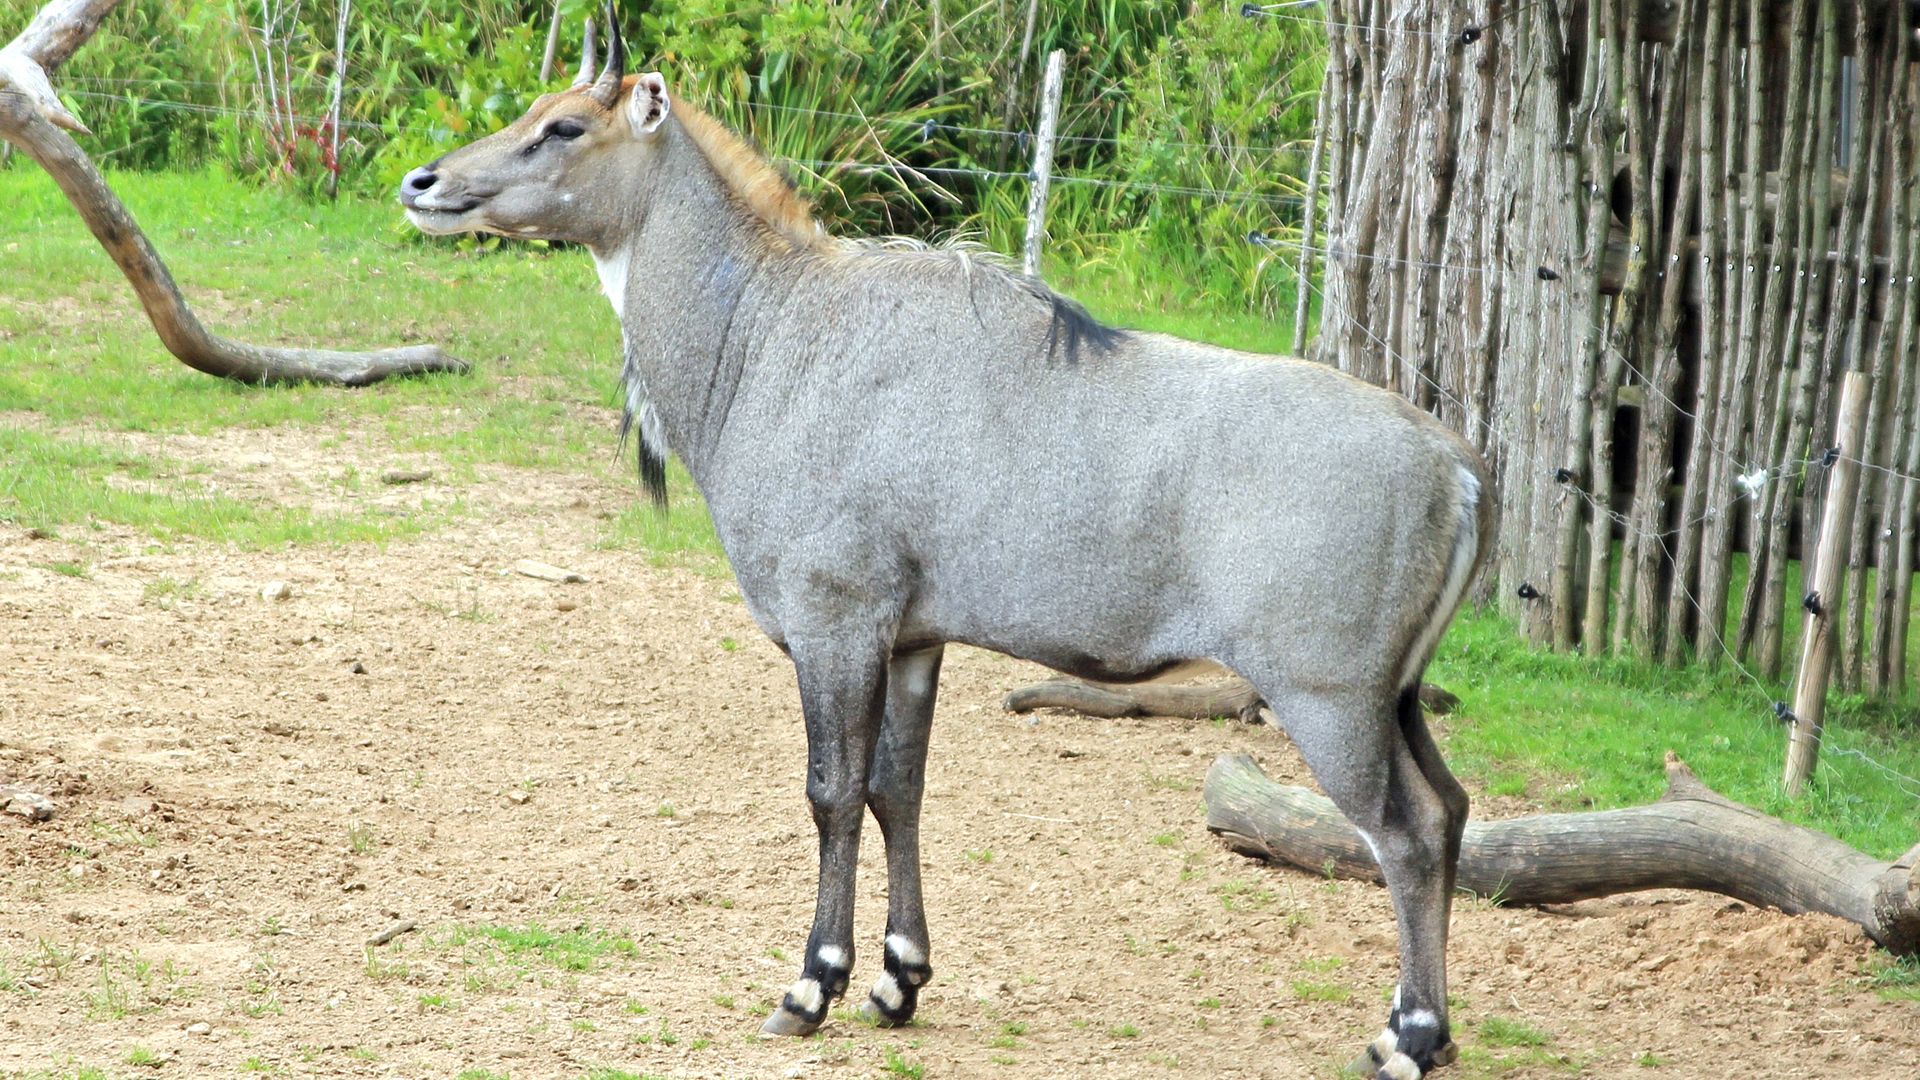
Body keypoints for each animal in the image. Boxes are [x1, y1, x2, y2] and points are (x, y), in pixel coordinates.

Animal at [397, 10, 1489, 1076]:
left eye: (565, 126)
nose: (423, 184)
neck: (770, 336)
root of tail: (1459, 470)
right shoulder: (915, 638)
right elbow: (900, 790)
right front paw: (899, 978)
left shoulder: (834, 618)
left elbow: (833, 792)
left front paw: (814, 985)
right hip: (1391, 696)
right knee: (1451, 807)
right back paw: (1425, 1028)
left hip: (1326, 695)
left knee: (1405, 834)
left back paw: (1408, 1038)